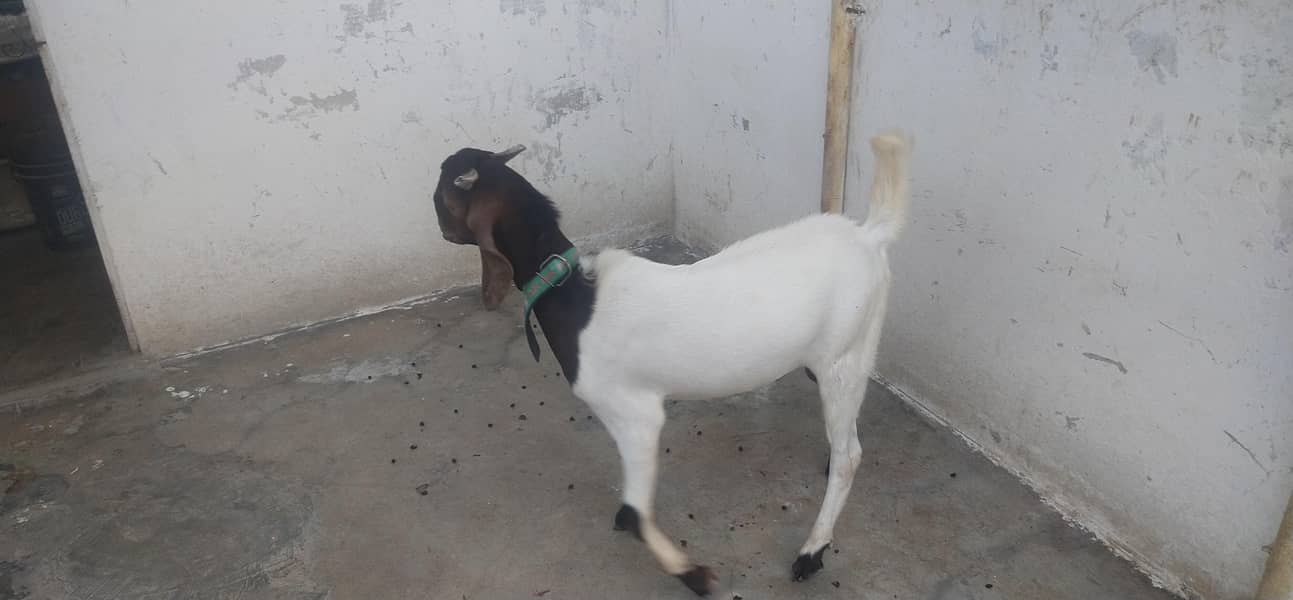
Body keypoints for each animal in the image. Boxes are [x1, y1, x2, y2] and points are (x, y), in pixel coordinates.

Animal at [432, 131, 911, 596]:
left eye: (441, 189)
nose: (441, 228)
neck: (574, 296)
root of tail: (869, 235)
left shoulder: (634, 413)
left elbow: (638, 511)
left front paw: (693, 575)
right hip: (860, 344)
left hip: (840, 355)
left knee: (850, 454)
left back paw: (813, 549)